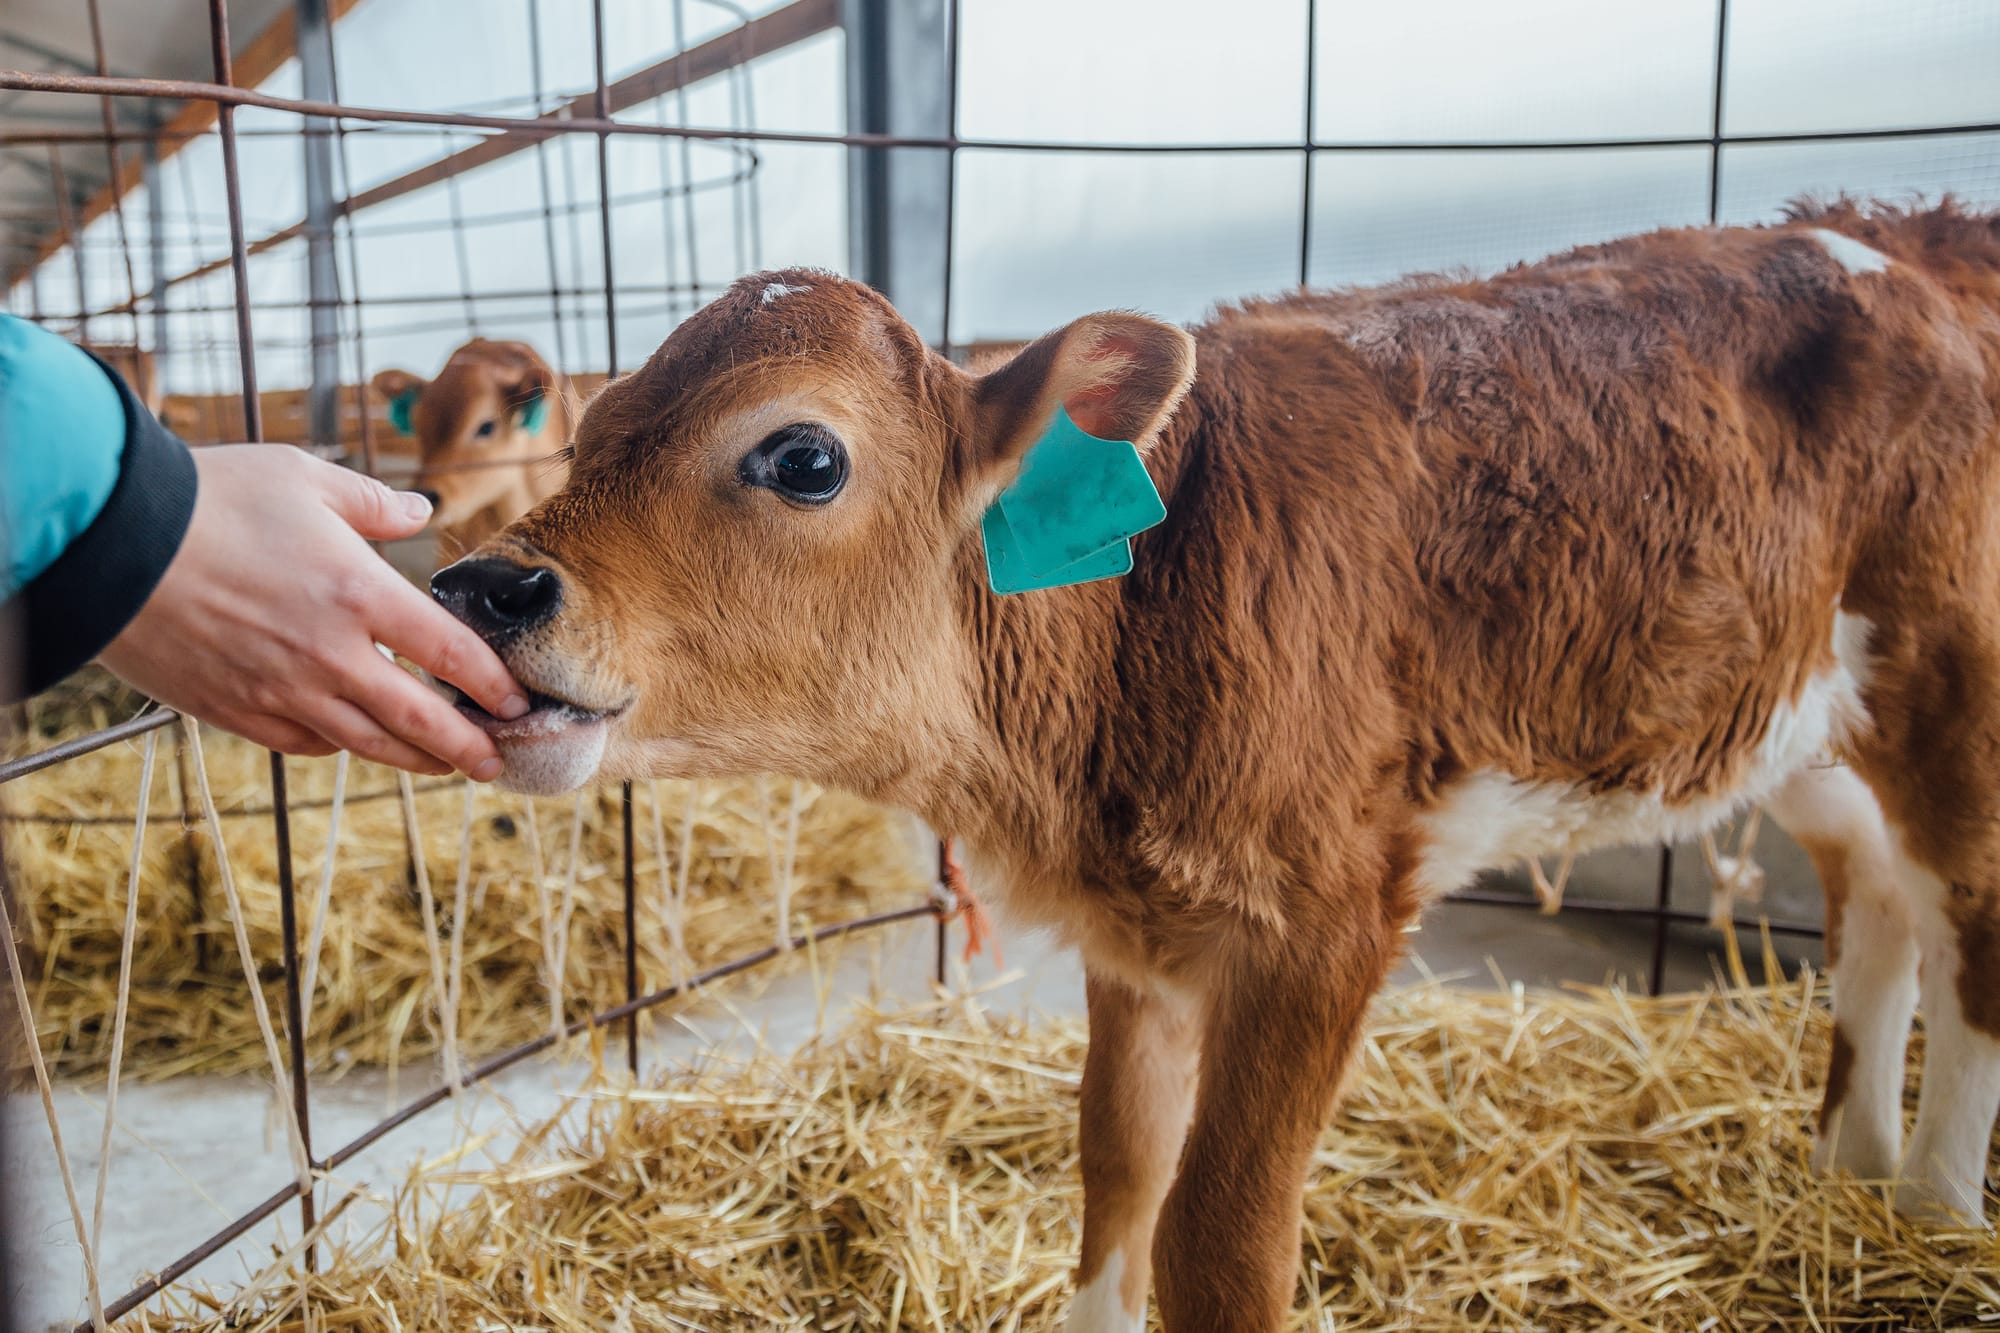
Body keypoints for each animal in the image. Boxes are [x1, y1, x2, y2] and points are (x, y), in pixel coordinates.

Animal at [434, 200, 2000, 1328]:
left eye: (803, 457)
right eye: (588, 430)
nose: (481, 586)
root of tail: (1908, 231)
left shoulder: (1324, 923)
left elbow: (1220, 1239)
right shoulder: (1134, 928)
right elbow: (1117, 1166)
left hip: (1954, 679)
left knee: (1969, 923)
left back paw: (1928, 1215)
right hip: (1799, 723)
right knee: (1876, 901)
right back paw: (1846, 1170)